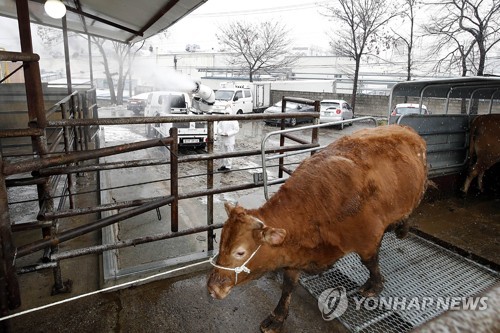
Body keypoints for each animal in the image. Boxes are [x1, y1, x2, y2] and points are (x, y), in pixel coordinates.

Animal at [206, 124, 426, 332]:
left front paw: (375, 285)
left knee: (411, 211)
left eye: (240, 252)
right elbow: (288, 286)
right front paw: (277, 317)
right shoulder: (293, 252)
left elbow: (371, 263)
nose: (212, 288)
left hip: (416, 193)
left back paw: (402, 229)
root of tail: (407, 130)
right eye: (220, 242)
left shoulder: (367, 239)